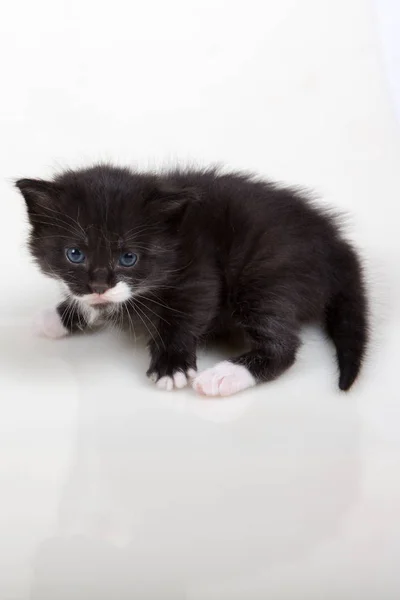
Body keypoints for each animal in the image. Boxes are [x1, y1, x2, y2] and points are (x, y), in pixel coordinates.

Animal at [15, 166, 368, 396]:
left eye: (128, 258)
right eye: (75, 254)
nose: (100, 285)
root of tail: (334, 242)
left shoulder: (200, 270)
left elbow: (186, 313)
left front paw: (171, 365)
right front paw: (58, 316)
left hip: (267, 274)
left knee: (283, 345)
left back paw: (225, 375)